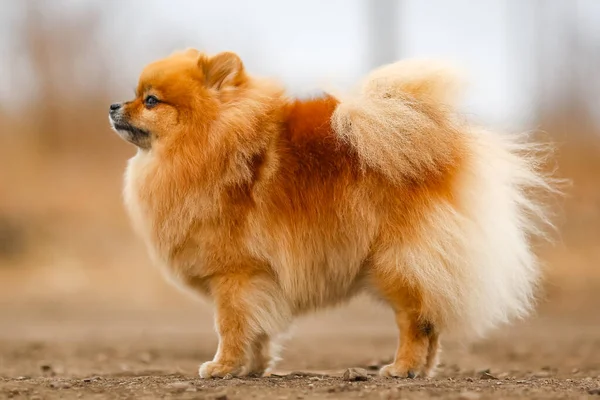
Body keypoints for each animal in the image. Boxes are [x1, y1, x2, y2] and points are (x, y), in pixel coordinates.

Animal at [110, 49, 556, 378]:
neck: (209, 142)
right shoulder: (259, 280)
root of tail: (442, 145)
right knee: (430, 322)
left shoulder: (235, 275)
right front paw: (252, 369)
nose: (114, 105)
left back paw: (400, 368)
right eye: (136, 95)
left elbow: (232, 326)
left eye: (150, 100)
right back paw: (420, 371)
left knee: (414, 321)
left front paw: (223, 367)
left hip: (396, 264)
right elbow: (259, 330)